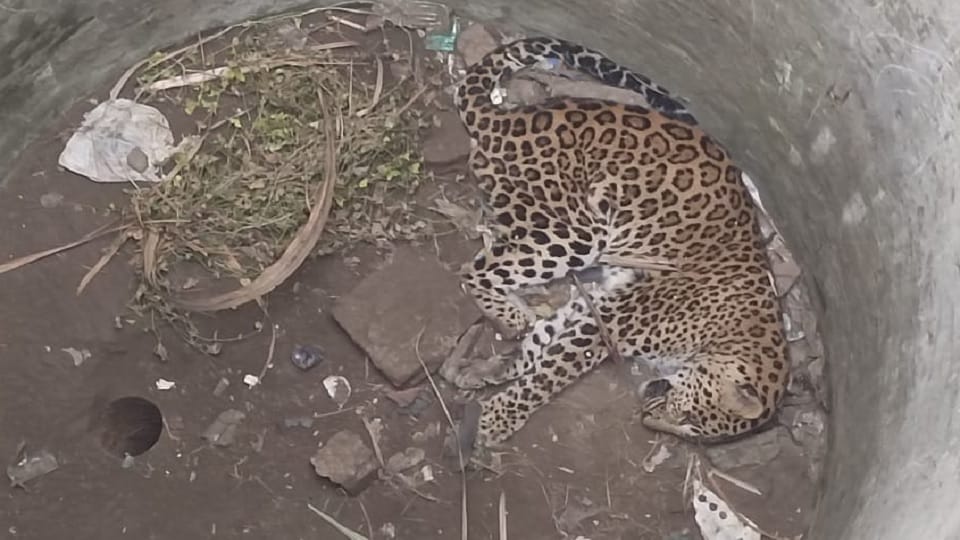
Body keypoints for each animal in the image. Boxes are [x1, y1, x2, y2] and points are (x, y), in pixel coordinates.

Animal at [449, 36, 789, 447]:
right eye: (690, 419)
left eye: (693, 430)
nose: (647, 420)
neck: (736, 332)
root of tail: (505, 118)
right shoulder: (609, 325)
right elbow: (550, 375)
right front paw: (497, 418)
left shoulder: (597, 304)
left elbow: (543, 341)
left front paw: (491, 371)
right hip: (578, 234)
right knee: (475, 268)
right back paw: (510, 316)